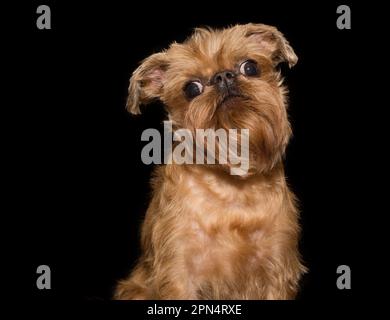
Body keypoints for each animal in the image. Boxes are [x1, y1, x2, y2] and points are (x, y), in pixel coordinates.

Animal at [114, 23, 306, 300]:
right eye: (191, 89)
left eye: (250, 67)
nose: (223, 77)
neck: (233, 187)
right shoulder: (179, 272)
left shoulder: (277, 266)